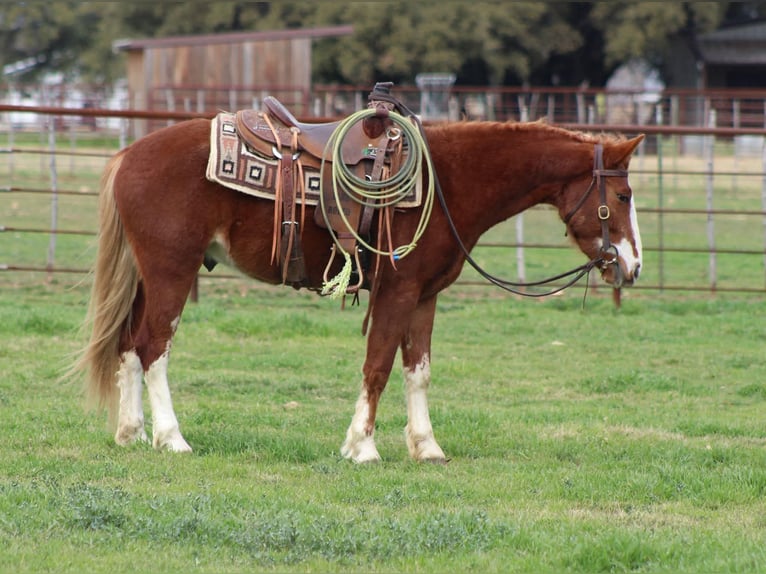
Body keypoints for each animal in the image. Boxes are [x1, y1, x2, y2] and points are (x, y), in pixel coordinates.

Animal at [75, 116, 644, 464]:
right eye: (622, 195)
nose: (632, 266)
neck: (447, 182)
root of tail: (129, 154)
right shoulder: (397, 290)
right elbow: (378, 366)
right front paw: (362, 447)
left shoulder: (425, 295)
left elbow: (418, 371)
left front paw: (426, 447)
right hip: (172, 271)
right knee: (154, 347)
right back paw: (171, 438)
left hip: (148, 276)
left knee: (128, 345)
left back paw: (130, 433)